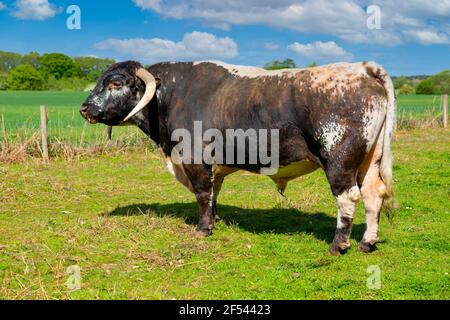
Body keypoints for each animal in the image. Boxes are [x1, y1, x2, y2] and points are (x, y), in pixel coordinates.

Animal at [81, 60, 398, 255]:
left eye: (115, 84)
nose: (84, 108)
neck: (169, 97)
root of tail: (361, 68)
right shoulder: (215, 166)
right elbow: (213, 195)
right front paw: (214, 221)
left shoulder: (195, 160)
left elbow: (202, 194)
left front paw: (203, 229)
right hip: (369, 160)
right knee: (373, 194)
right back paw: (367, 242)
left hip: (339, 161)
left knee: (348, 197)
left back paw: (338, 245)